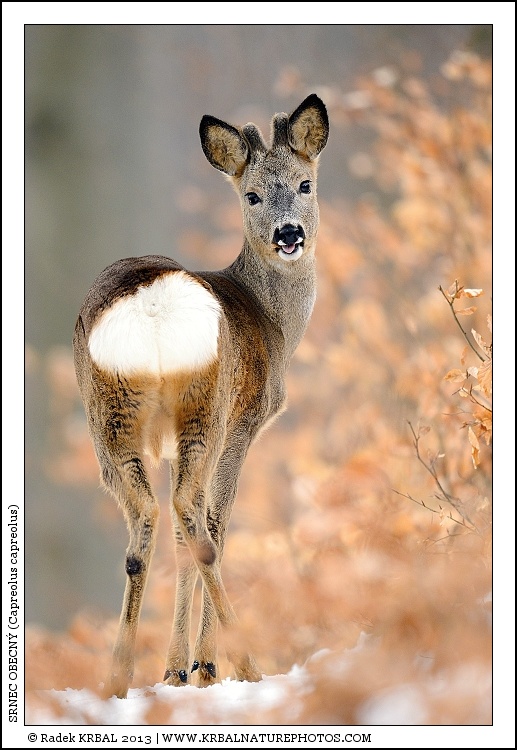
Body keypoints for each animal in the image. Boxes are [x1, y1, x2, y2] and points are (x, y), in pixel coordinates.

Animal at [73, 93, 329, 698]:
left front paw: (173, 670)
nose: (289, 233)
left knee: (147, 520)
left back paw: (118, 677)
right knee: (196, 516)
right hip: (206, 404)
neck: (275, 325)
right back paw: (241, 663)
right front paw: (199, 667)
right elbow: (217, 521)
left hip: (108, 411)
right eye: (251, 194)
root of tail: (151, 304)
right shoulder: (246, 419)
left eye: (305, 183)